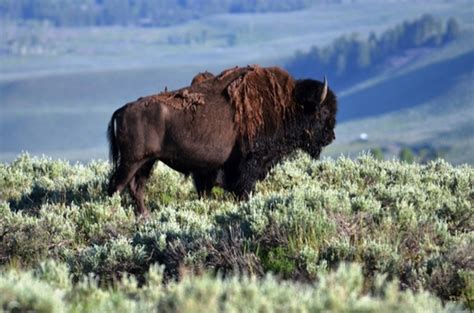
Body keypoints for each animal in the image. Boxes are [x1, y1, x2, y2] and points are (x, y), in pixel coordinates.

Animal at [107, 64, 336, 213]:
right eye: (323, 112)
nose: (331, 137)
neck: (286, 104)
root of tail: (122, 110)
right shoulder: (249, 166)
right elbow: (243, 190)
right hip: (131, 161)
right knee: (116, 187)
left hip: (146, 162)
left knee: (136, 188)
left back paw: (144, 216)